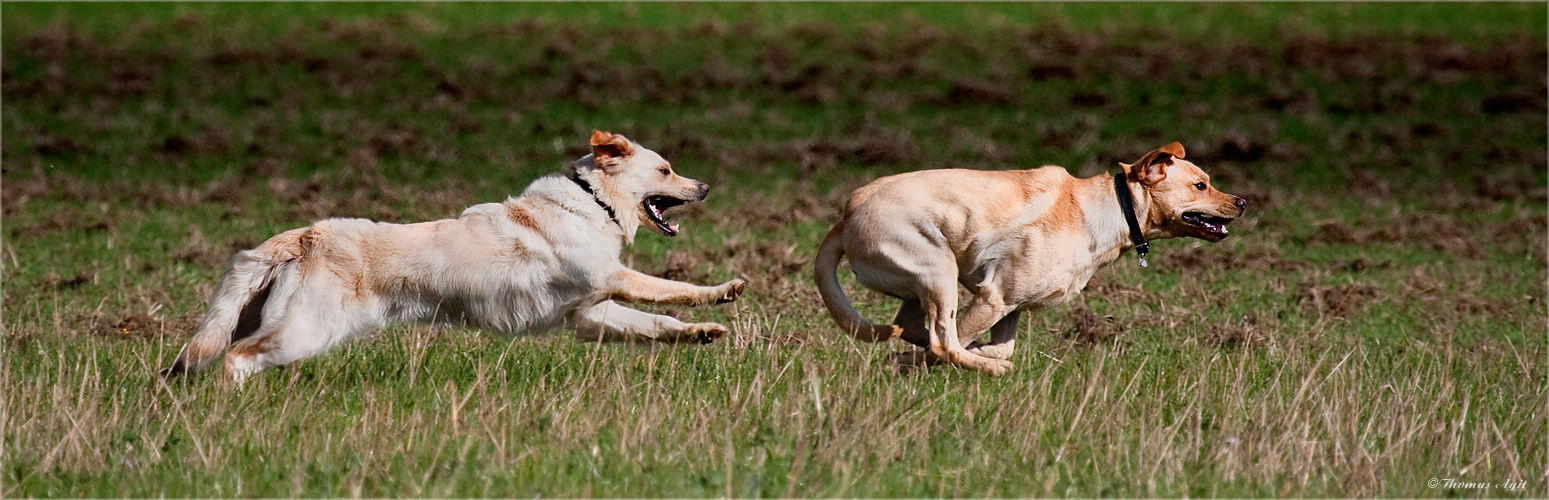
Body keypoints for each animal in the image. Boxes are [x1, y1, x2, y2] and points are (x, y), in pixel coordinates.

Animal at [166, 131, 746, 382]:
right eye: (666, 169)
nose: (707, 186)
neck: (592, 202)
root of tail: (307, 234)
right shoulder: (610, 275)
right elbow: (672, 289)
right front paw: (722, 293)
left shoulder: (589, 312)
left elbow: (657, 322)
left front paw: (702, 333)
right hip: (305, 330)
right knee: (238, 359)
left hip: (260, 317)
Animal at [811, 143, 1245, 374]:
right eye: (1200, 185)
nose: (1242, 202)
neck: (1113, 207)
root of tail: (846, 217)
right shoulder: (994, 297)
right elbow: (953, 345)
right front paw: (921, 362)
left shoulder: (1011, 306)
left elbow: (999, 345)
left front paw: (977, 352)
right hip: (937, 270)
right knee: (941, 342)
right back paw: (983, 369)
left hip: (924, 285)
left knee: (916, 328)